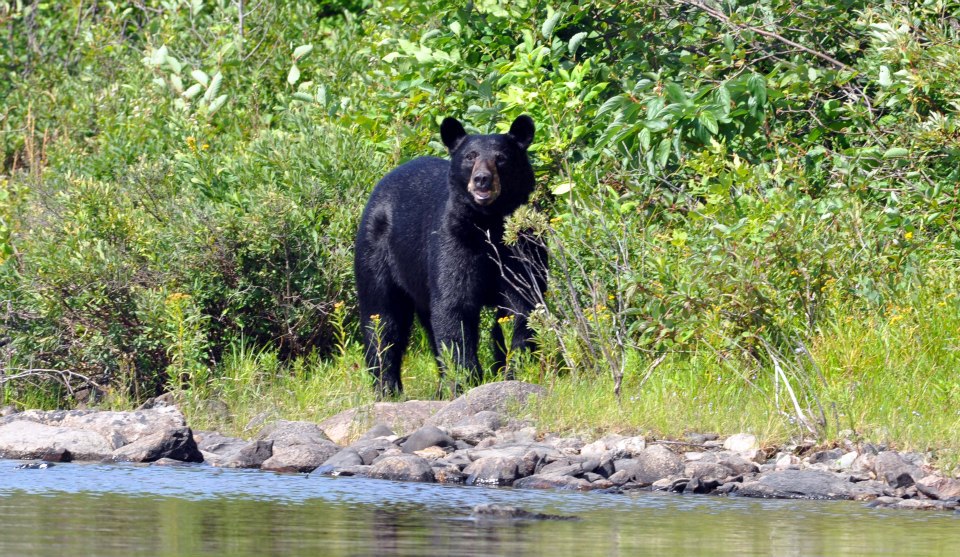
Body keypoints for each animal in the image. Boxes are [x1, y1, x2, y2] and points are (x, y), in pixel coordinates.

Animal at [352, 115, 548, 396]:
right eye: (470, 156)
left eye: (501, 157)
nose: (482, 179)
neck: (487, 224)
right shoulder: (452, 241)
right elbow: (454, 306)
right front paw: (466, 379)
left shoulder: (522, 244)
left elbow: (523, 305)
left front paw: (513, 371)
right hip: (375, 250)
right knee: (382, 318)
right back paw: (387, 387)